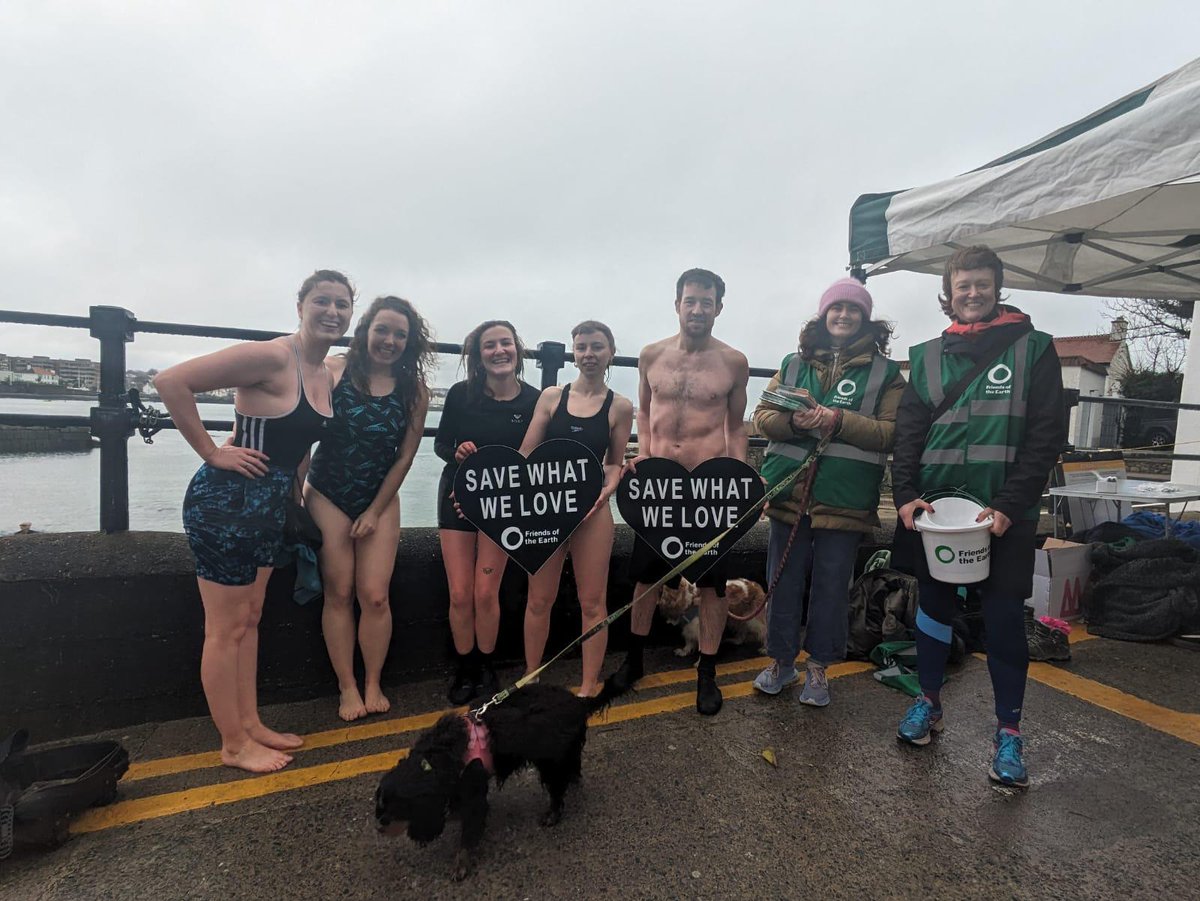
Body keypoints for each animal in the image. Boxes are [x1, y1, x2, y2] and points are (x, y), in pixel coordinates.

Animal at [376, 681, 628, 878]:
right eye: (379, 807)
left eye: (392, 812)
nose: (379, 827)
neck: (437, 759)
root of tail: (578, 701)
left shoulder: (474, 792)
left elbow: (469, 831)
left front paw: (461, 863)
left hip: (549, 758)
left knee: (556, 787)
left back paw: (553, 813)